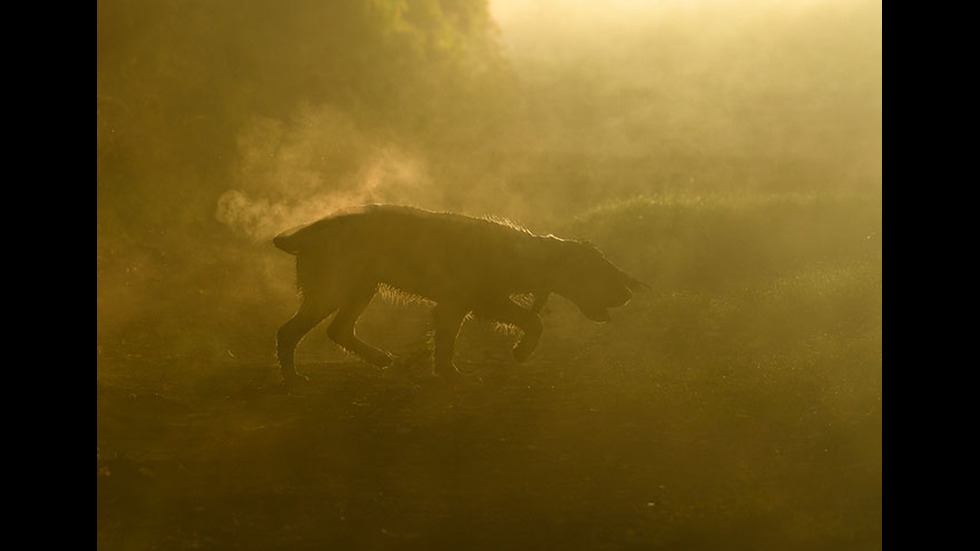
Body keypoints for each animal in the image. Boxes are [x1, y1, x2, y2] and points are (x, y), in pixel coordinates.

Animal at [272, 204, 648, 384]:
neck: (525, 256)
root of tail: (304, 235)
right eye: (601, 273)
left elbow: (445, 345)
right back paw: (293, 378)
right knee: (287, 332)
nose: (628, 293)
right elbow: (534, 321)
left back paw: (379, 358)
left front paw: (449, 374)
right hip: (332, 290)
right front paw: (522, 351)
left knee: (338, 330)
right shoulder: (480, 302)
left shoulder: (456, 306)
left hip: (360, 289)